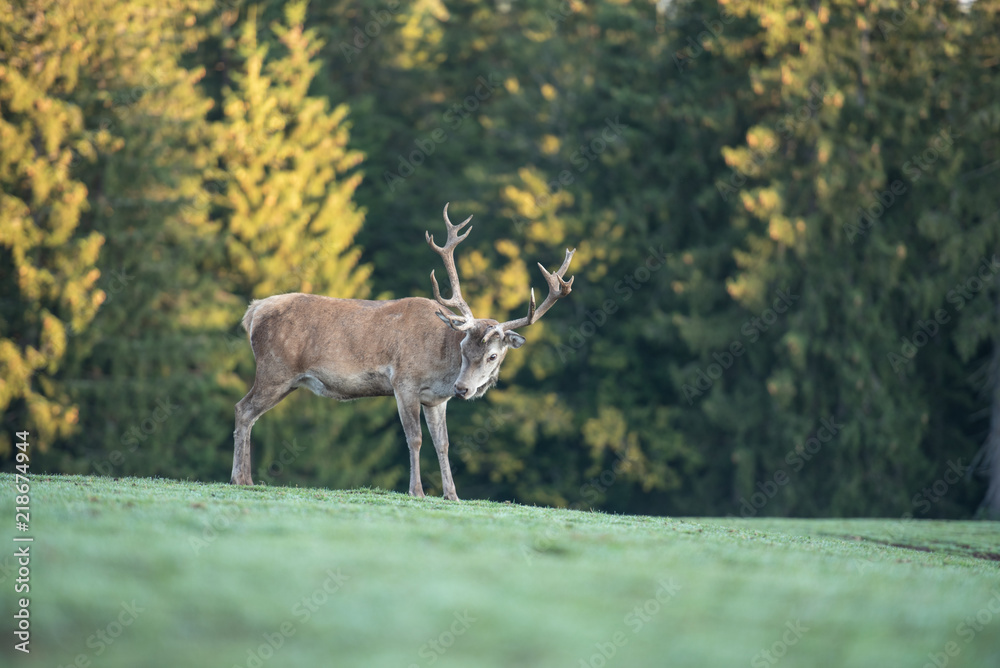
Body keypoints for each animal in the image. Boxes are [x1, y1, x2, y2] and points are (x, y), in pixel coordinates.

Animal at [231, 203, 575, 500]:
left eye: (492, 355)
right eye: (464, 348)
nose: (462, 388)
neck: (441, 367)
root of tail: (253, 311)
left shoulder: (436, 399)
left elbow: (443, 443)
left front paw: (452, 495)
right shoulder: (404, 383)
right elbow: (415, 438)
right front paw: (417, 491)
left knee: (247, 412)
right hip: (276, 370)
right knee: (243, 409)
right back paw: (241, 479)